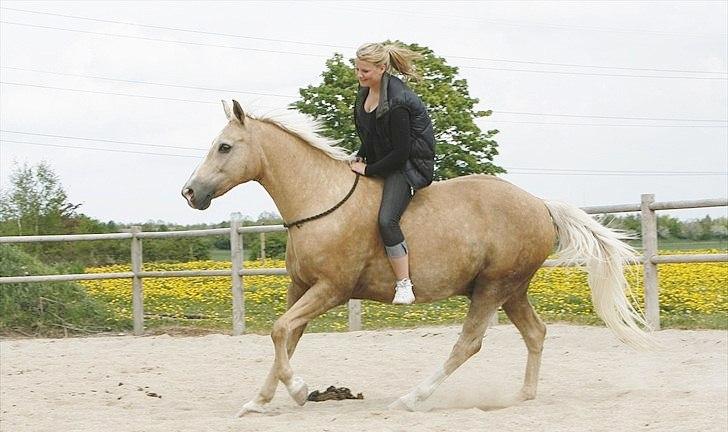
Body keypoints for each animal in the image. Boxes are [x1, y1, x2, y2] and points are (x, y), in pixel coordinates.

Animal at [183, 99, 656, 416]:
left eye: (224, 147)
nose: (190, 192)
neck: (320, 201)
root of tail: (541, 205)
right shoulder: (299, 288)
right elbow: (286, 337)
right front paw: (258, 401)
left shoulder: (330, 290)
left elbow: (280, 331)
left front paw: (300, 391)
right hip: (511, 289)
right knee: (535, 334)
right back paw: (520, 397)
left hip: (493, 288)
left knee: (468, 343)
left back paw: (411, 398)